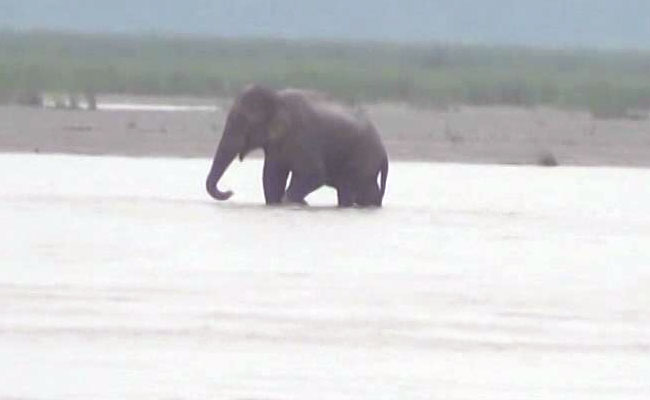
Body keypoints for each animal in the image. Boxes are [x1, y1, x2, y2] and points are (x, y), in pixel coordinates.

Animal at [205, 85, 388, 207]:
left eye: (242, 122)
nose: (230, 192)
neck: (276, 97)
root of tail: (384, 151)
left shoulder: (304, 137)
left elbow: (314, 174)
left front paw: (295, 203)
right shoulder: (276, 145)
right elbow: (272, 177)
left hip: (363, 160)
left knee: (349, 189)